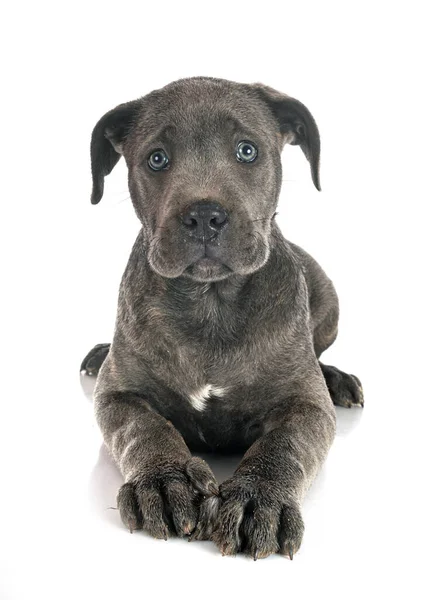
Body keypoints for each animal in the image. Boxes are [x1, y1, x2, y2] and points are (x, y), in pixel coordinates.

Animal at [80, 77, 362, 560]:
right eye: (157, 158)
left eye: (247, 151)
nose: (204, 216)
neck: (210, 302)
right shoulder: (117, 396)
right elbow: (144, 427)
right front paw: (164, 480)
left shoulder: (306, 406)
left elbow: (285, 444)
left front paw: (256, 498)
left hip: (328, 299)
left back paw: (336, 378)